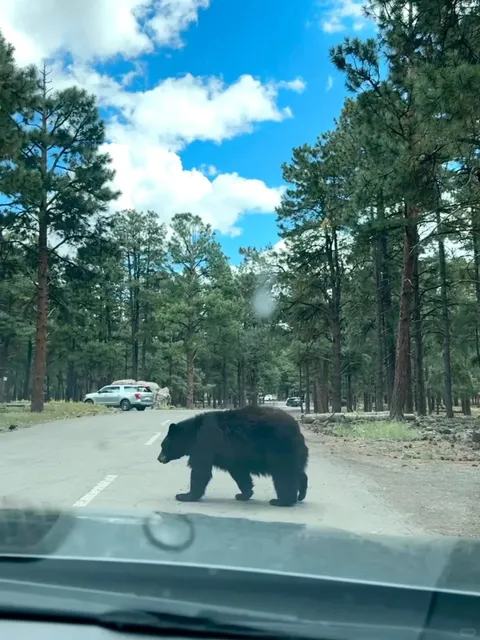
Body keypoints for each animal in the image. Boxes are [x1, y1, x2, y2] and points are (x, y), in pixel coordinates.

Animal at [157, 405, 308, 507]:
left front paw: (185, 496)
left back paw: (282, 501)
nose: (159, 458)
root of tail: (297, 428)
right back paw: (301, 494)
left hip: (279, 447)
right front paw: (244, 494)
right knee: (298, 472)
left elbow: (200, 470)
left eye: (163, 445)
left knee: (284, 474)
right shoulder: (233, 456)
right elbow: (239, 473)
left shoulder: (205, 442)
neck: (193, 433)